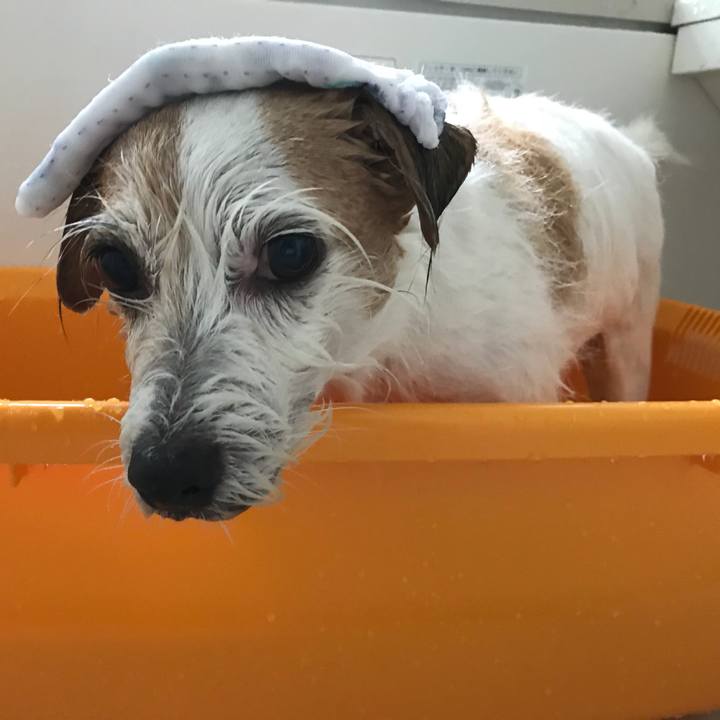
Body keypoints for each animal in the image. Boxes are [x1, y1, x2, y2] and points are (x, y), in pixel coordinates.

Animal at [56, 82, 666, 520]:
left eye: (290, 253)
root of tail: (626, 137)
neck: (384, 339)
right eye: (115, 265)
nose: (163, 473)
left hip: (630, 340)